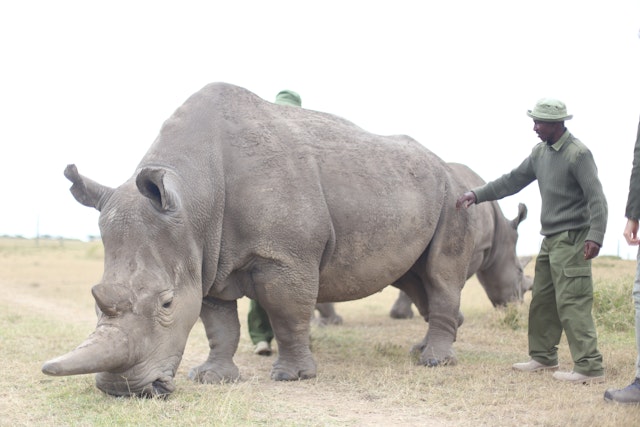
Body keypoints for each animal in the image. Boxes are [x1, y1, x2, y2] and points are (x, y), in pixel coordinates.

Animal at [43, 82, 509, 397]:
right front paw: (212, 378)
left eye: (167, 304)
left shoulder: (285, 257)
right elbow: (219, 324)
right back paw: (423, 348)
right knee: (414, 277)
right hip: (408, 189)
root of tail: (445, 165)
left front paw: (293, 377)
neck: (194, 198)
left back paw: (434, 362)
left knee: (440, 274)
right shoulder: (205, 256)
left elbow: (287, 313)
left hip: (455, 197)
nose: (120, 390)